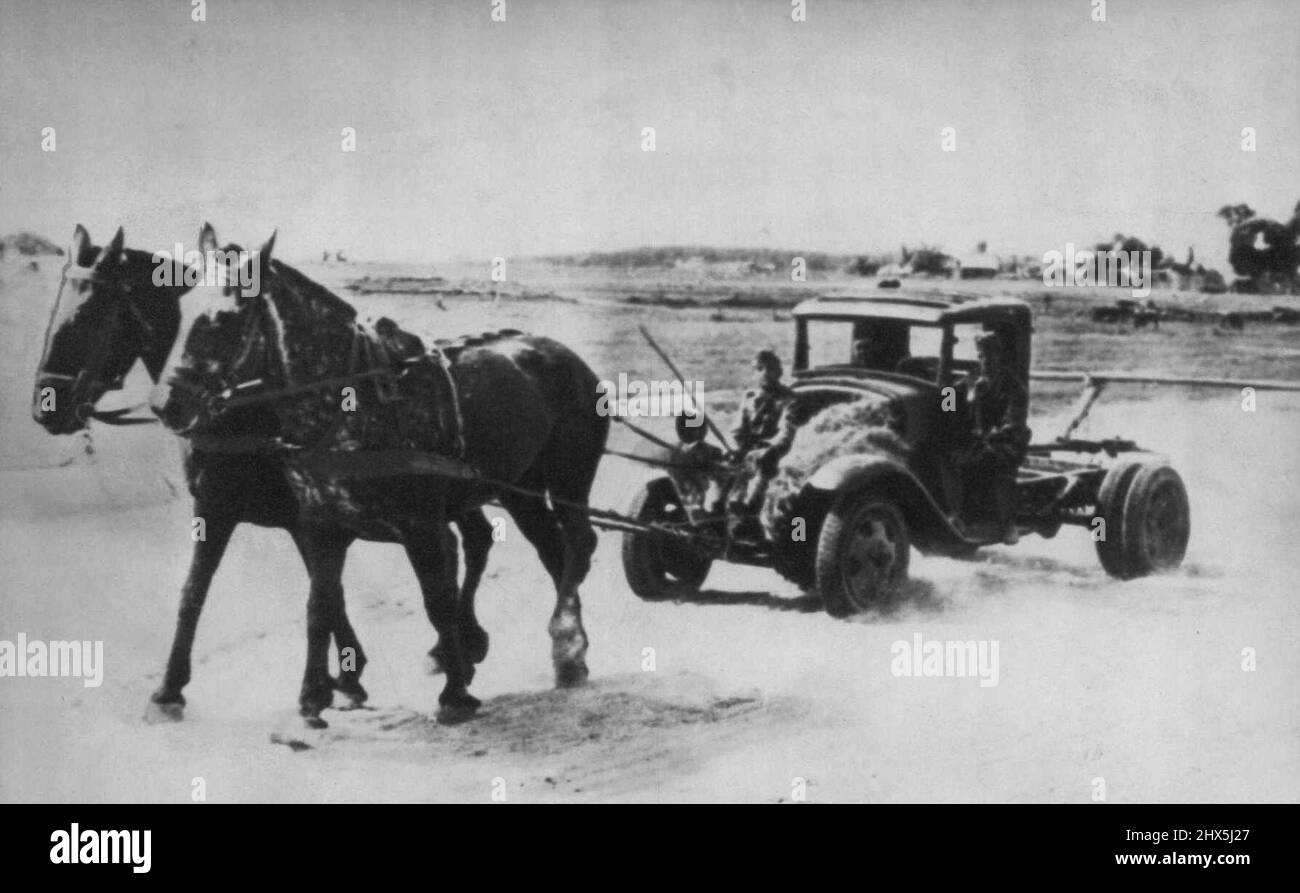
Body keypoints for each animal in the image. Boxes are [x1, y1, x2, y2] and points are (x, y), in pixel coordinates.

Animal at [31, 224, 496, 727]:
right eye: (55, 308)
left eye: (89, 316)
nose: (45, 407)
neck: (241, 409)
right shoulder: (220, 509)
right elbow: (197, 592)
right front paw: (170, 689)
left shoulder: (308, 519)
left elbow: (325, 592)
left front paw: (341, 677)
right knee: (469, 541)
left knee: (464, 545)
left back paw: (461, 646)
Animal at [148, 232, 608, 727]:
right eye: (182, 304)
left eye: (223, 318)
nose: (164, 404)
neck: (351, 402)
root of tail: (569, 358)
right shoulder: (317, 526)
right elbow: (318, 603)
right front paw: (313, 694)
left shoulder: (421, 528)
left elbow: (435, 599)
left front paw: (455, 692)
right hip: (519, 489)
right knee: (551, 551)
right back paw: (562, 648)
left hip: (568, 479)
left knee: (577, 542)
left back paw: (565, 639)